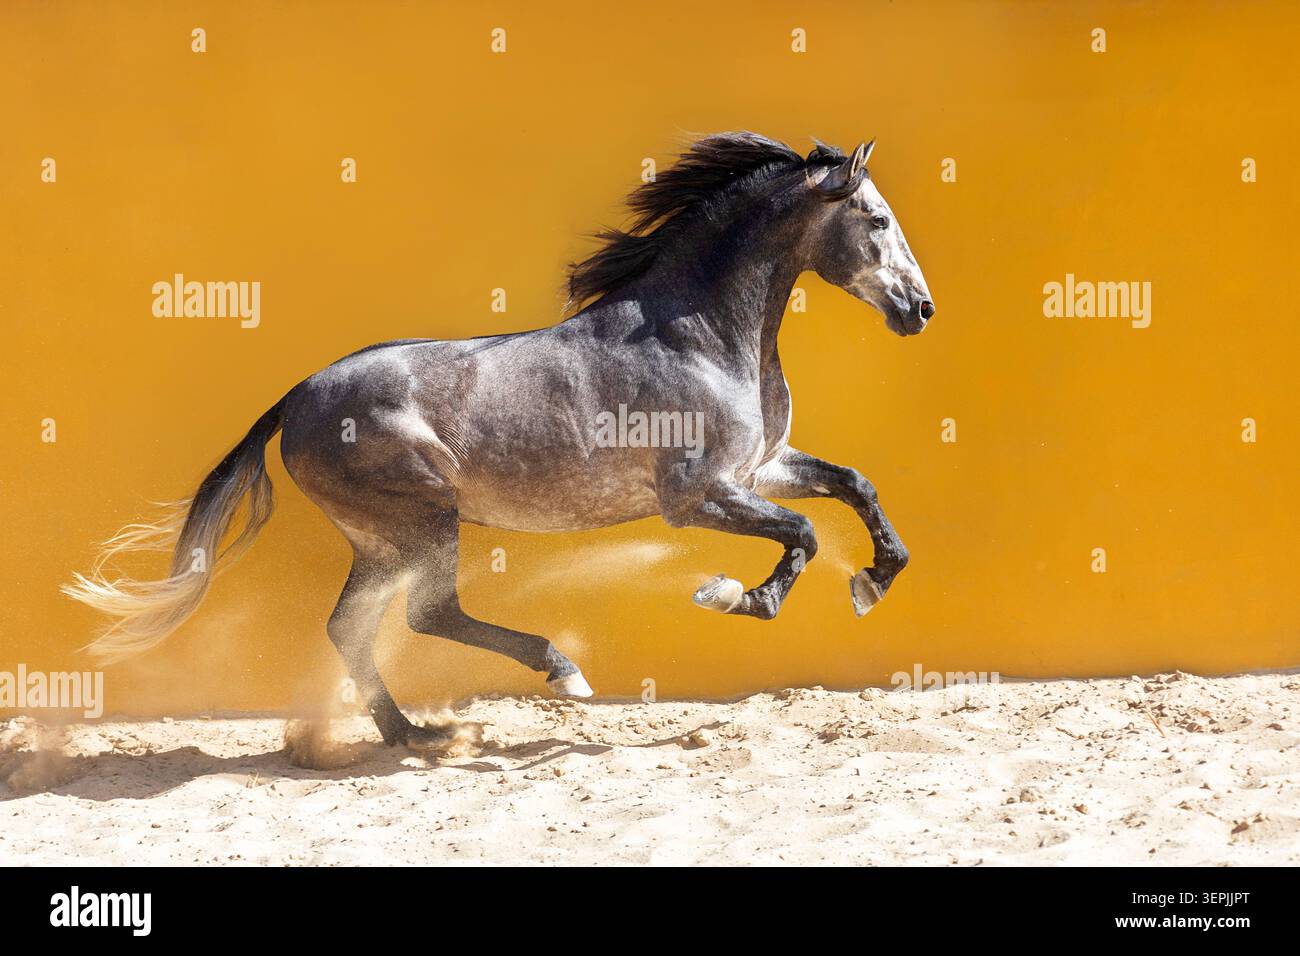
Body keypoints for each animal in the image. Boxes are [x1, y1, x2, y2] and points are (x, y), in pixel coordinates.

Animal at [64, 132, 936, 746]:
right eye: (877, 219)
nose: (921, 309)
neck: (699, 335)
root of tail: (296, 397)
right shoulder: (699, 496)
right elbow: (804, 533)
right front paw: (736, 595)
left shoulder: (763, 468)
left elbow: (853, 485)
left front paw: (873, 579)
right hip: (421, 520)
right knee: (428, 613)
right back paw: (560, 674)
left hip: (381, 539)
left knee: (353, 626)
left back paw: (411, 735)